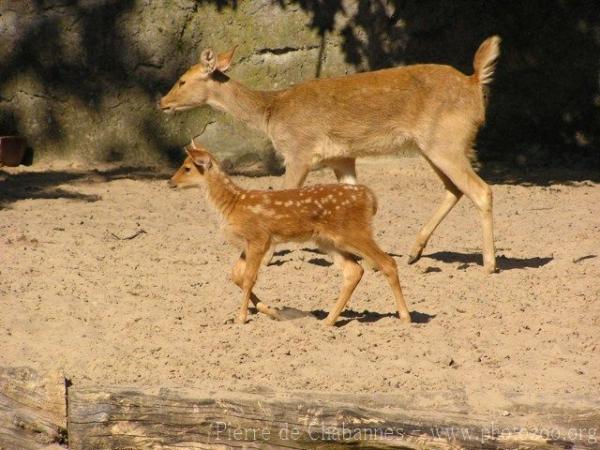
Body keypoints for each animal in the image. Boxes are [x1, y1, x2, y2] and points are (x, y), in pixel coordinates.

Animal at [159, 37, 502, 272]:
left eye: (183, 79)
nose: (162, 102)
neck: (272, 113)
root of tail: (474, 84)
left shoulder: (299, 150)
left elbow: (283, 194)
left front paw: (267, 257)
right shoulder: (341, 158)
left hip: (445, 142)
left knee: (481, 190)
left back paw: (489, 264)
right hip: (431, 146)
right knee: (454, 189)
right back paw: (414, 252)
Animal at [169, 139, 412, 326]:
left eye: (187, 168)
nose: (170, 182)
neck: (232, 205)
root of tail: (370, 198)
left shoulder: (259, 237)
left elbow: (248, 278)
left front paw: (241, 318)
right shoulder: (248, 244)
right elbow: (235, 275)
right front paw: (273, 311)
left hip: (354, 232)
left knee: (388, 262)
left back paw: (405, 317)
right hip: (328, 241)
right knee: (354, 271)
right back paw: (328, 321)